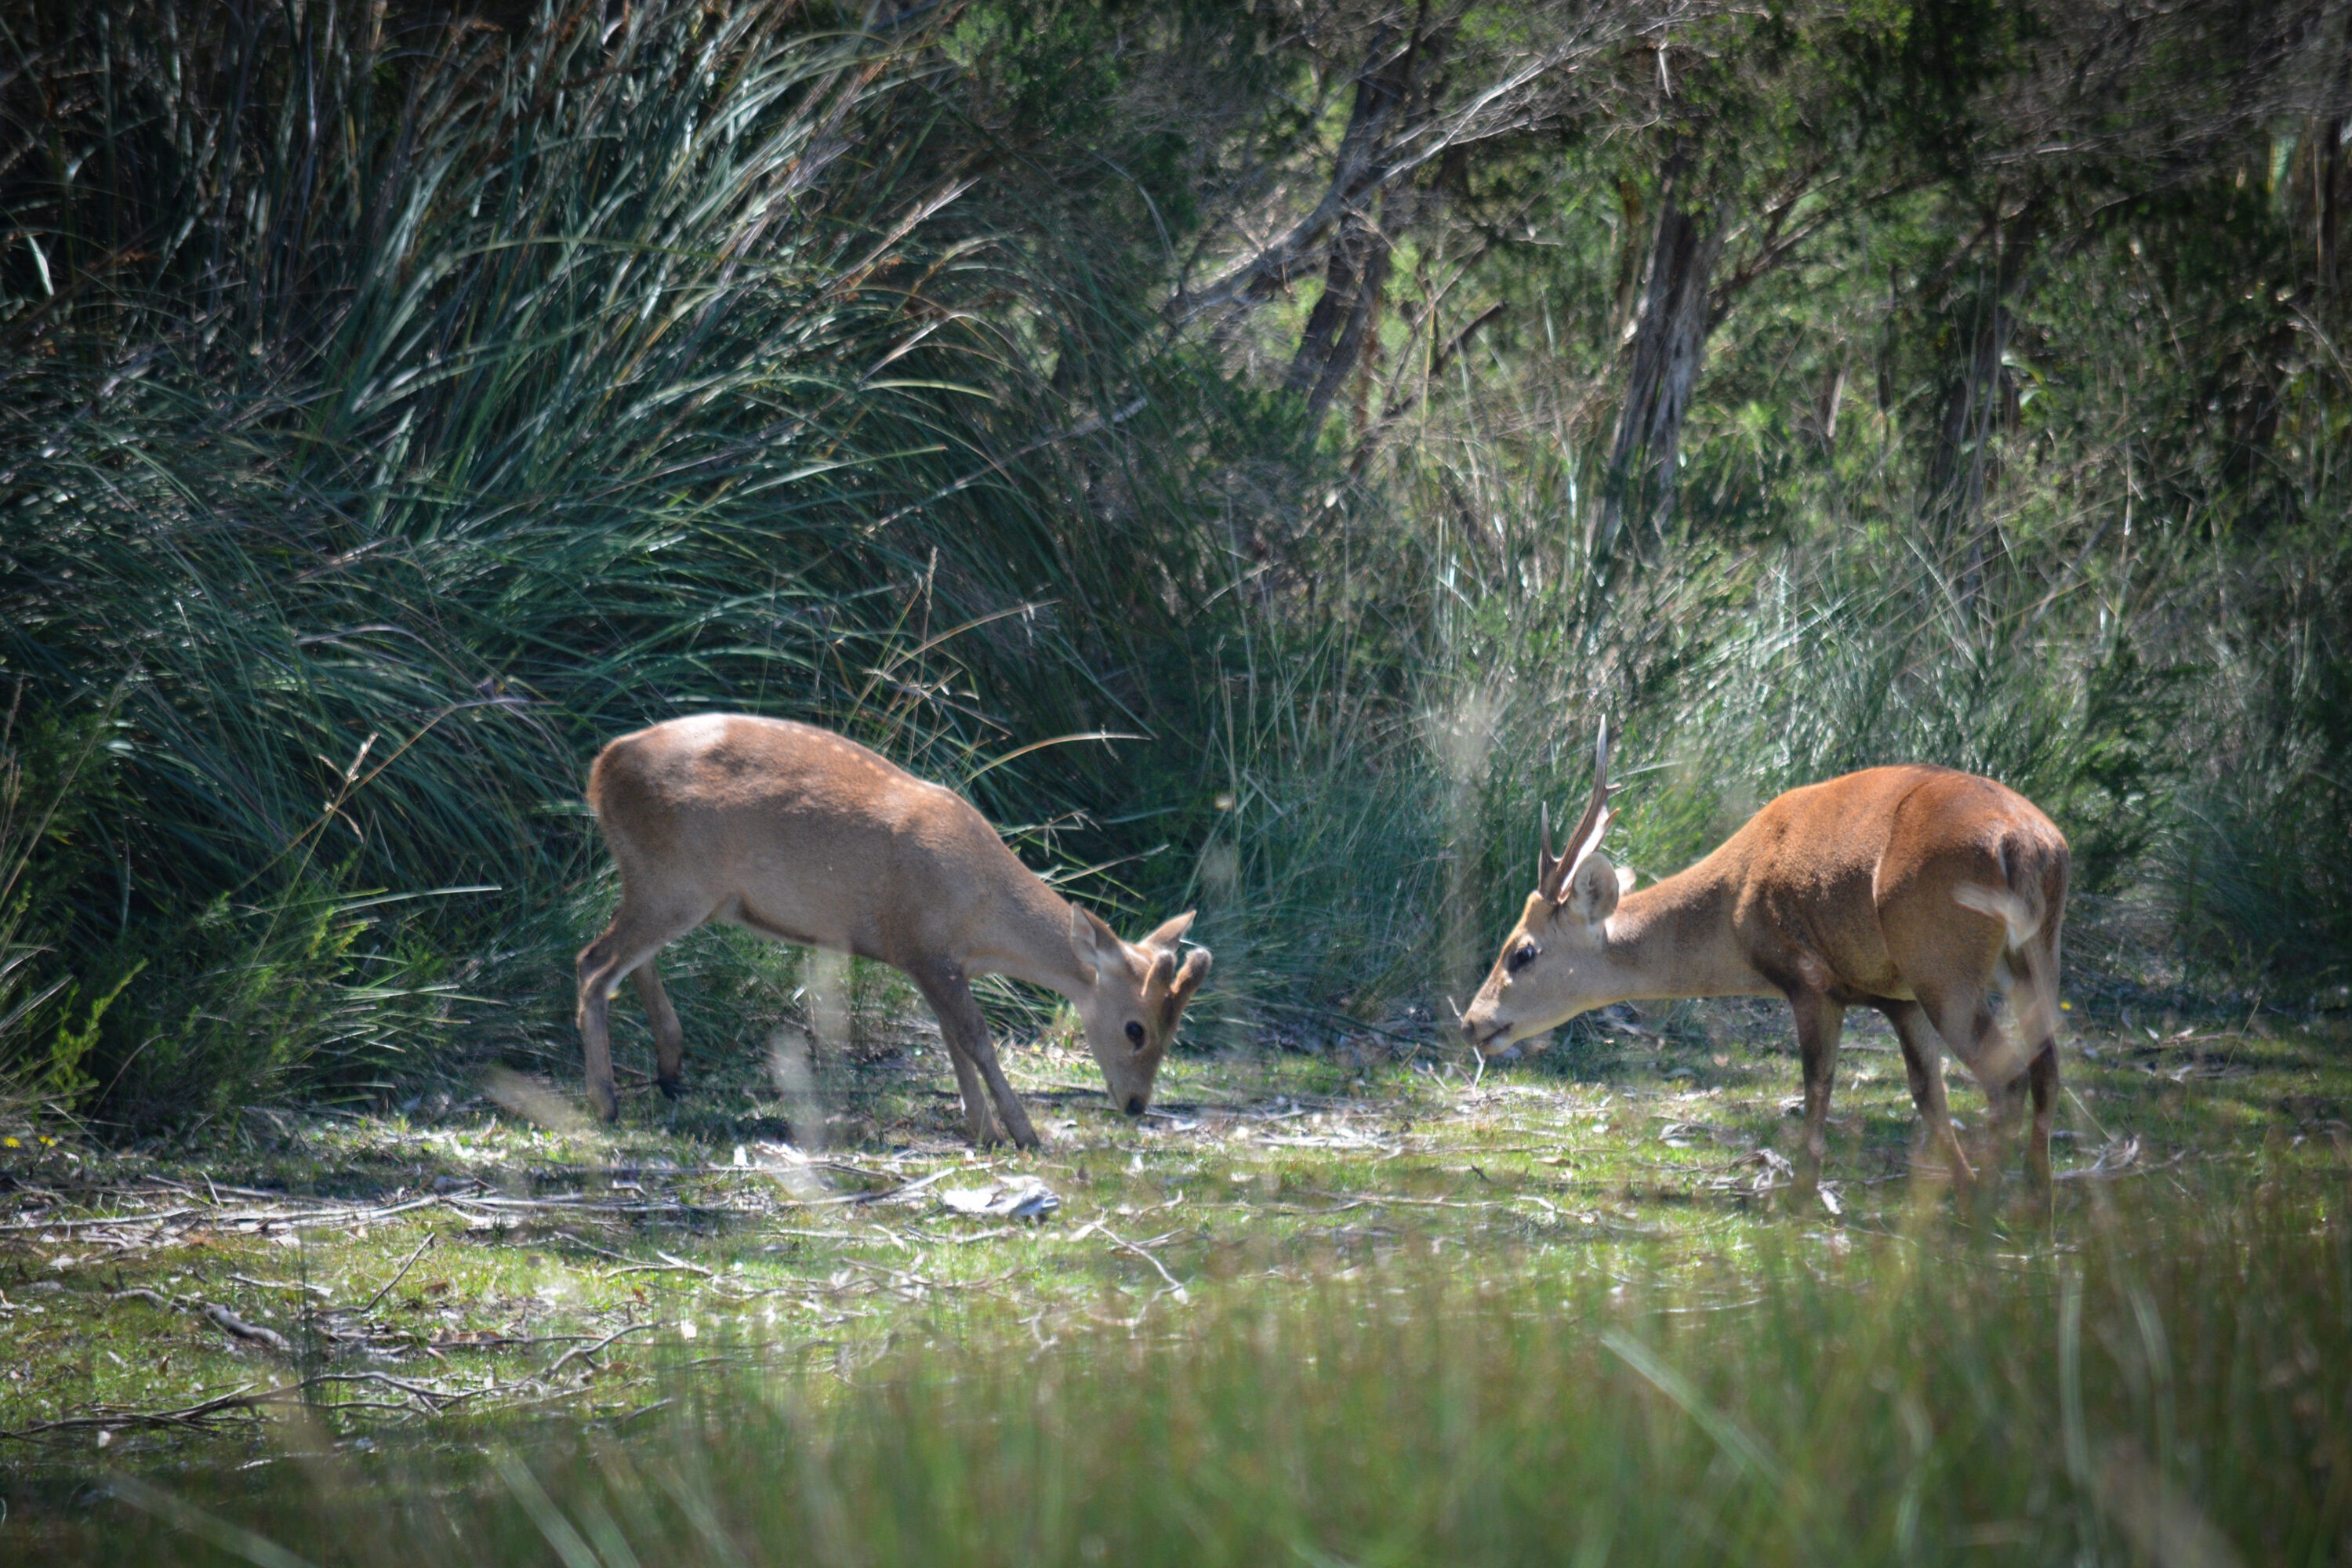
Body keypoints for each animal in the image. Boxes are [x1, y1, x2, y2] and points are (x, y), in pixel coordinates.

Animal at [574, 719, 1214, 1147]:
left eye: (1174, 1028)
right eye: (1136, 1029)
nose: (1136, 1104)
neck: (981, 915)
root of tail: (601, 768)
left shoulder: (938, 962)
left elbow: (954, 1042)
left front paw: (984, 1129)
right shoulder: (923, 947)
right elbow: (975, 1038)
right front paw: (1023, 1133)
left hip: (664, 884)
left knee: (623, 959)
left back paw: (668, 1070)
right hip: (676, 881)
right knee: (592, 962)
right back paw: (605, 1102)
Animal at [1458, 724, 2070, 1189]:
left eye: (1523, 951)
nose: (1470, 1022)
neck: (1735, 908)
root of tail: (2025, 842)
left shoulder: (1811, 979)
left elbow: (1818, 1086)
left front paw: (1800, 1198)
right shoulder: (1896, 996)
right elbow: (1928, 1096)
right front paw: (1957, 1188)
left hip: (1944, 964)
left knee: (2007, 1078)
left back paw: (1993, 1206)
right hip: (2029, 954)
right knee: (2046, 1067)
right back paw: (2033, 1208)